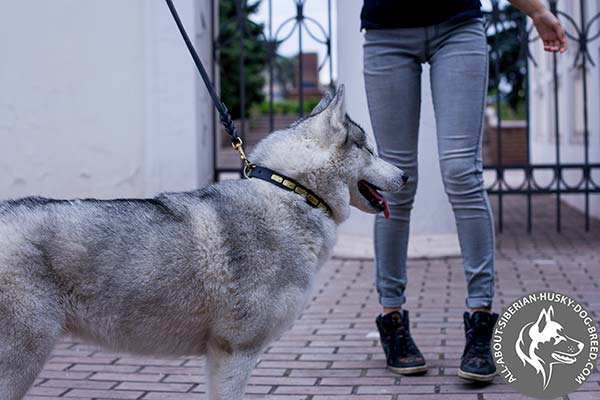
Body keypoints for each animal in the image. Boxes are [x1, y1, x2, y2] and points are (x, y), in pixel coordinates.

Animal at [0, 85, 406, 400]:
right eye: (371, 150)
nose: (405, 175)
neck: (291, 191)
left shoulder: (217, 354)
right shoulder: (237, 351)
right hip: (22, 360)